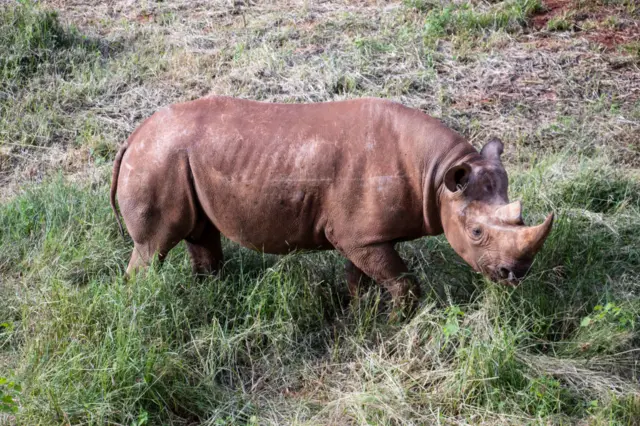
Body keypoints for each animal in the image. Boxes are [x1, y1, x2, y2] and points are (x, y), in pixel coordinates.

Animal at [109, 96, 552, 302]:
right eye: (476, 232)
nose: (516, 274)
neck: (439, 176)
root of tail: (133, 137)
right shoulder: (362, 236)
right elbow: (404, 282)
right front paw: (402, 321)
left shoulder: (363, 235)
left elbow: (361, 278)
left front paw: (361, 313)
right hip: (158, 159)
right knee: (152, 246)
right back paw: (141, 303)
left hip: (177, 160)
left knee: (201, 234)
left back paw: (212, 296)